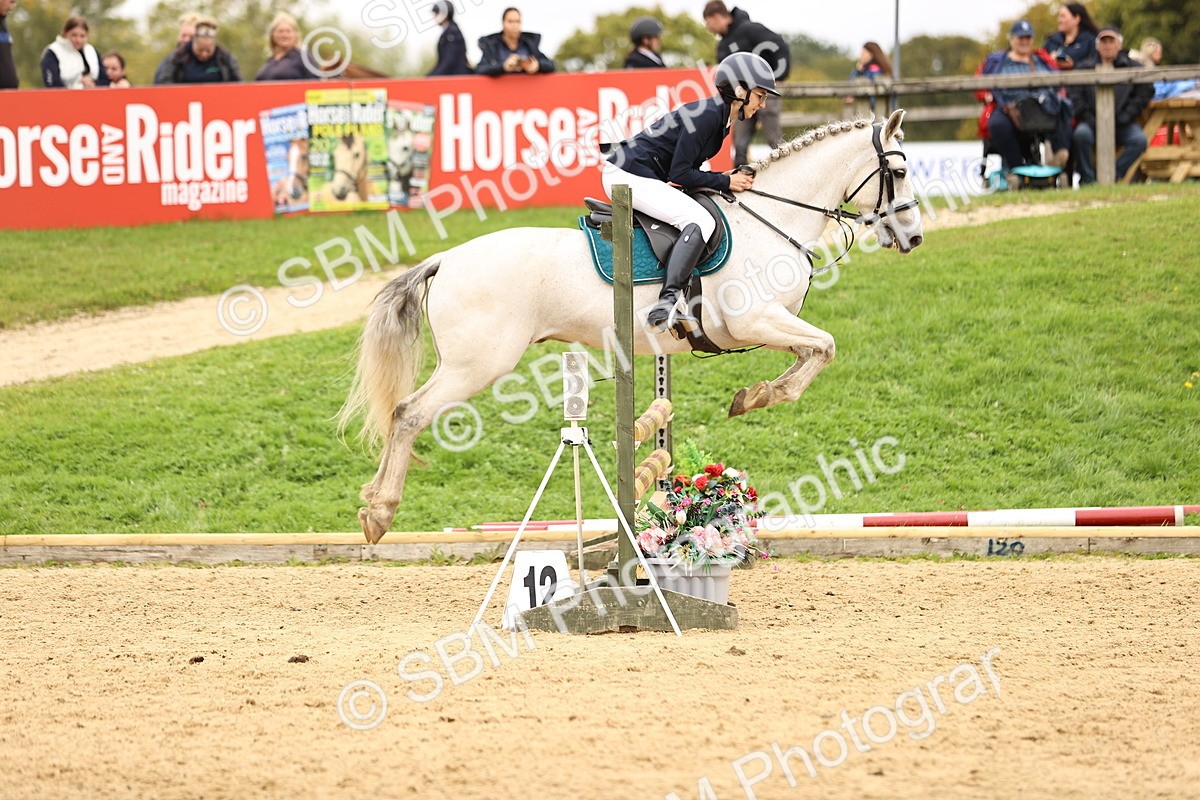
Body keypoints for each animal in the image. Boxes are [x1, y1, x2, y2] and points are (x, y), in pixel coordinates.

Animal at [340, 110, 924, 543]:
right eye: (897, 173)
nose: (914, 238)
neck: (773, 222)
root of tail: (445, 259)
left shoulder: (771, 325)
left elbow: (813, 352)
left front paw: (755, 394)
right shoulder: (755, 320)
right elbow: (825, 347)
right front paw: (757, 397)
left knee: (404, 414)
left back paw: (372, 506)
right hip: (477, 364)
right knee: (408, 413)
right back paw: (379, 513)